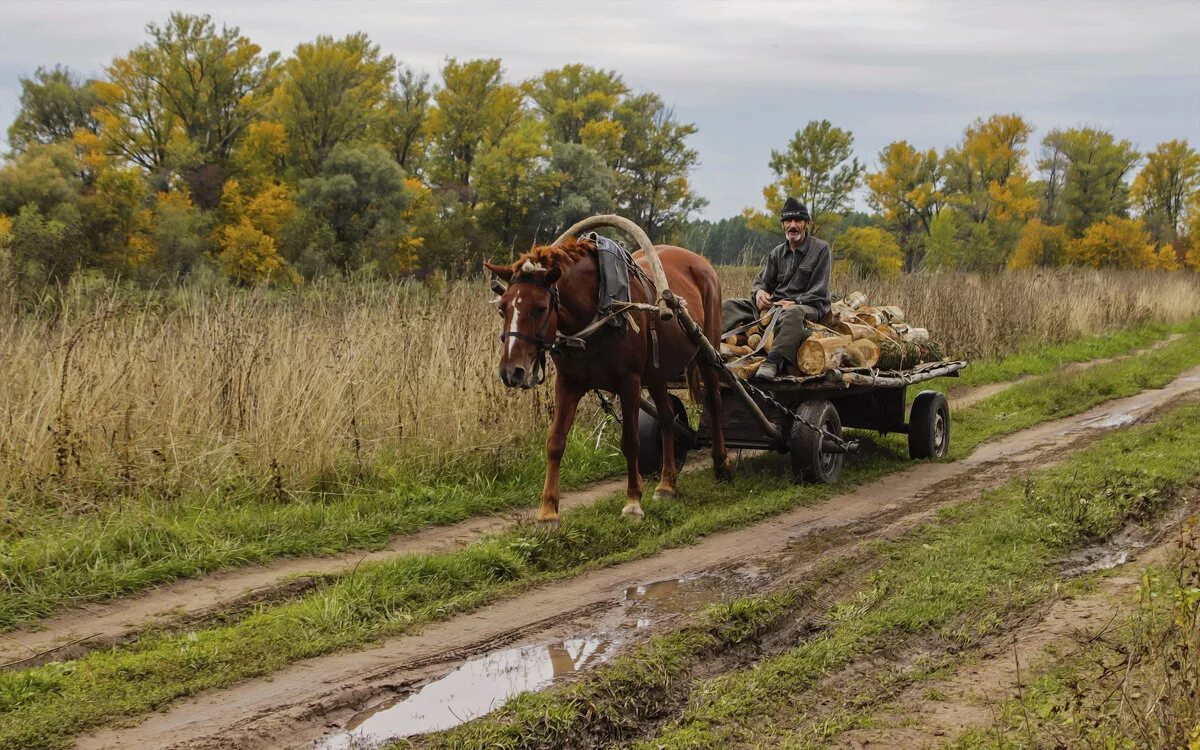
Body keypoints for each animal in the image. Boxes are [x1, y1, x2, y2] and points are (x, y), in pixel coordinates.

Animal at [480, 225, 729, 523]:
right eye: (502, 307)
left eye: (540, 308)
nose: (511, 371)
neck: (599, 309)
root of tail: (701, 262)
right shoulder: (568, 384)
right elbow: (555, 442)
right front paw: (548, 511)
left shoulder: (629, 383)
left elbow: (630, 441)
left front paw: (633, 502)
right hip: (656, 373)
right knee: (668, 417)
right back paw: (667, 483)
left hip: (707, 351)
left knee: (714, 402)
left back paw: (721, 462)